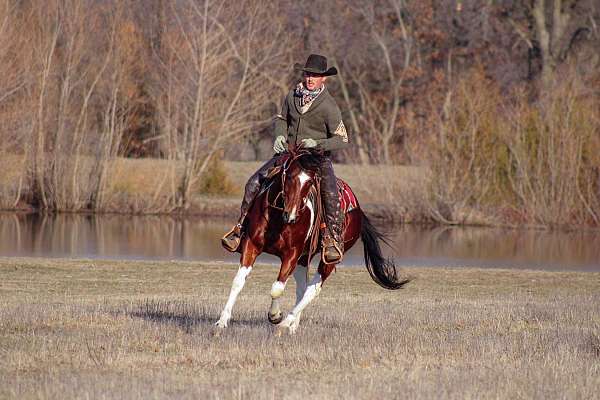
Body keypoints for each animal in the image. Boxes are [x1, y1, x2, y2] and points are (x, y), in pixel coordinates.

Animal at [216, 148, 408, 332]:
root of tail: (359, 211)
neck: (278, 219)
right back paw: (293, 325)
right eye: (289, 176)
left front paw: (275, 315)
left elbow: (277, 288)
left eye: (309, 183)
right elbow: (238, 281)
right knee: (302, 288)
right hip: (303, 259)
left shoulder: (291, 254)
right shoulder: (252, 246)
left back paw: (286, 323)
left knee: (312, 289)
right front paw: (222, 321)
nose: (291, 215)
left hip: (329, 259)